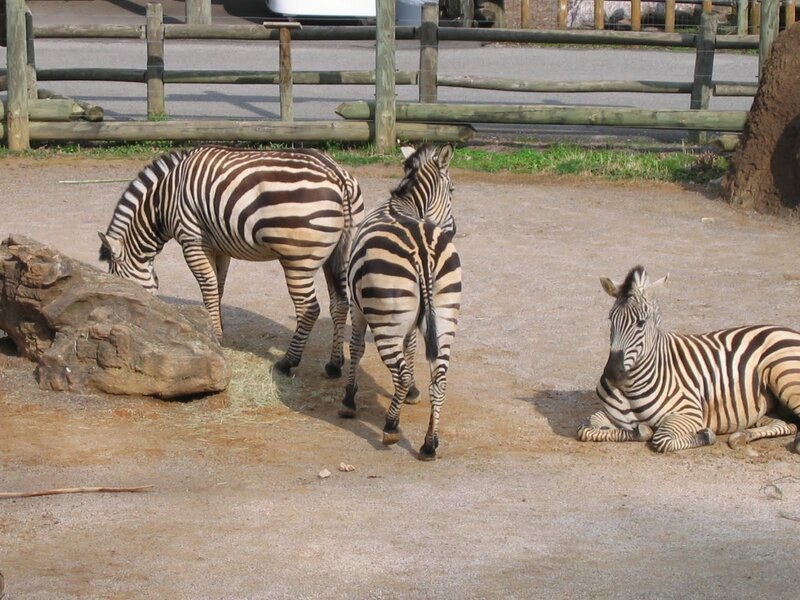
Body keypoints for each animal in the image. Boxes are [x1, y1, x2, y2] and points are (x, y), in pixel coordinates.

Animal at [99, 145, 364, 377]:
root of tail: (337, 174)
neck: (164, 201)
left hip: (298, 258)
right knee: (340, 303)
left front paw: (215, 336)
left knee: (310, 309)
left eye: (120, 285)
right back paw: (334, 364)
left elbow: (208, 287)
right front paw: (216, 329)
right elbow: (218, 287)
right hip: (339, 253)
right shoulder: (219, 245)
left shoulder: (192, 240)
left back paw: (288, 362)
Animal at [338, 143, 462, 461]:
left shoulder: (358, 308)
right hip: (445, 315)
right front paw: (415, 394)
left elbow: (356, 348)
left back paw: (391, 427)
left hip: (386, 322)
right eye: (452, 189)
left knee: (402, 375)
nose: (453, 230)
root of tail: (422, 251)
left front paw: (348, 399)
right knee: (439, 381)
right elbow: (412, 346)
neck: (405, 205)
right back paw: (430, 444)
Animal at [578, 265, 800, 453]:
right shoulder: (611, 415)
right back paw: (741, 436)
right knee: (787, 424)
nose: (612, 373)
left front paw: (706, 435)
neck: (632, 384)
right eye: (611, 319)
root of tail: (787, 329)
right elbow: (585, 429)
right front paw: (640, 430)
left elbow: (662, 440)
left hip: (784, 375)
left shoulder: (689, 414)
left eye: (640, 323)